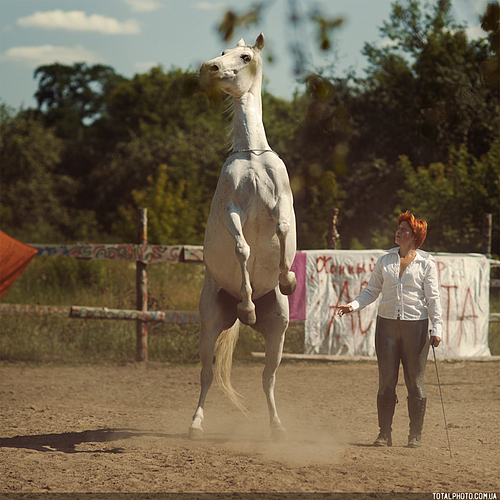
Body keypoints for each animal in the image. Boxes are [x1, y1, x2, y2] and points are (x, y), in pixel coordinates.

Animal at [188, 33, 297, 441]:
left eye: (245, 56)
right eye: (222, 52)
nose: (209, 67)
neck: (252, 157)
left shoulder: (281, 202)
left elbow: (282, 231)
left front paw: (288, 278)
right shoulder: (234, 208)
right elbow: (242, 248)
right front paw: (250, 303)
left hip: (278, 332)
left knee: (268, 379)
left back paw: (278, 428)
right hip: (209, 326)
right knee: (206, 375)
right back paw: (195, 424)